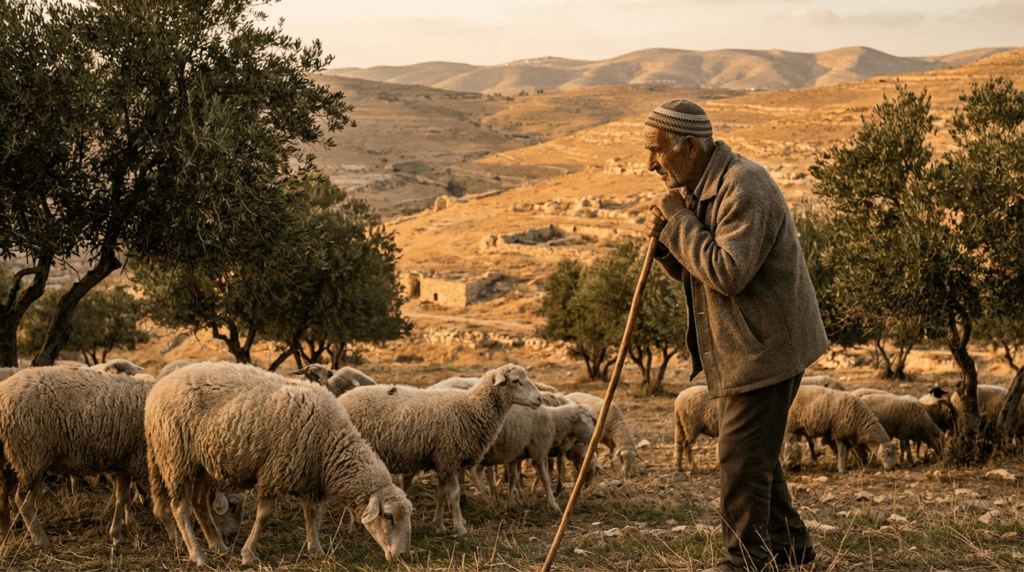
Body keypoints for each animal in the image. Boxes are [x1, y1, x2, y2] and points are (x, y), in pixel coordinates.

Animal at [0, 366, 242, 550]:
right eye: (232, 506)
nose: (231, 535)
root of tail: (4, 394)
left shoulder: (125, 463)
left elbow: (121, 497)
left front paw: (116, 534)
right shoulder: (142, 463)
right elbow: (158, 504)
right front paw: (176, 536)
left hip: (11, 457)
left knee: (4, 490)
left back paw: (5, 531)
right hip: (32, 456)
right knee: (22, 500)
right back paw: (41, 540)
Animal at [145, 362, 412, 567]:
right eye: (388, 516)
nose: (402, 556)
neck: (329, 443)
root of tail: (159, 387)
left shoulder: (307, 476)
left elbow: (311, 514)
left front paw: (316, 549)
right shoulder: (275, 471)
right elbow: (265, 515)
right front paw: (248, 554)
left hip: (201, 464)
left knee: (199, 502)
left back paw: (218, 545)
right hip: (174, 456)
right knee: (179, 507)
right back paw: (198, 556)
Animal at [337, 363, 542, 535]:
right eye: (515, 381)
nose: (539, 398)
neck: (471, 407)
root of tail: (342, 398)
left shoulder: (444, 461)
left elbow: (442, 494)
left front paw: (440, 525)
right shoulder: (449, 458)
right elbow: (455, 495)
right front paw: (460, 528)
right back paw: (354, 523)